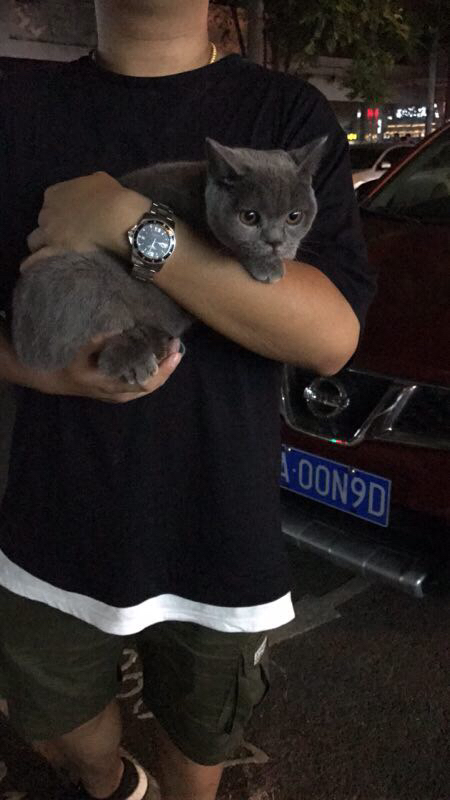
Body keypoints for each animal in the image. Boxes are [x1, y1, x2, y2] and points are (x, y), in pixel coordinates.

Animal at [12, 137, 326, 385]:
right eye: (249, 217)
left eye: (294, 217)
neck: (200, 195)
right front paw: (268, 263)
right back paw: (131, 358)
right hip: (71, 278)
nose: (275, 241)